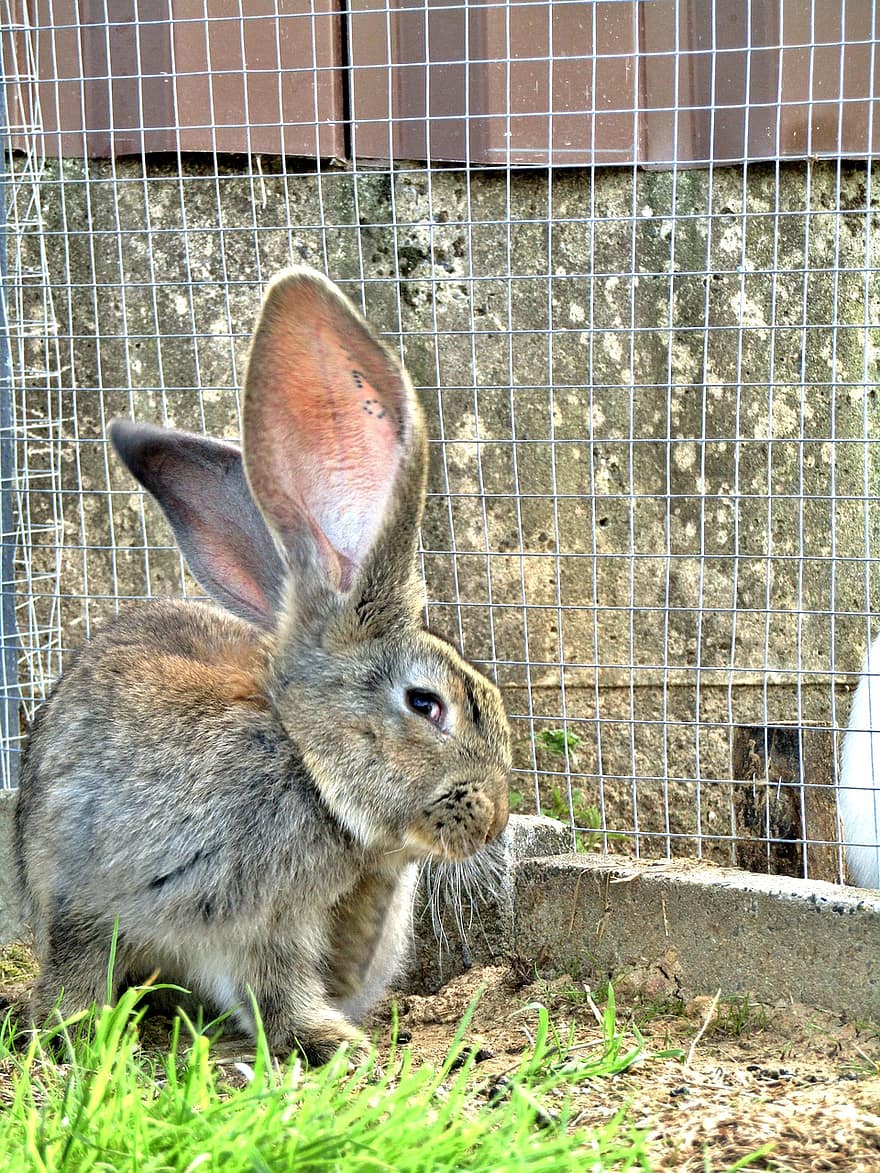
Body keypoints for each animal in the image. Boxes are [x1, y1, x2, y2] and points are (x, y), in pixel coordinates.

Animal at [13, 268, 513, 1065]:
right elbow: (247, 980)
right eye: (425, 703)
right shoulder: (165, 903)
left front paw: (334, 1037)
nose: (495, 818)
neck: (306, 764)